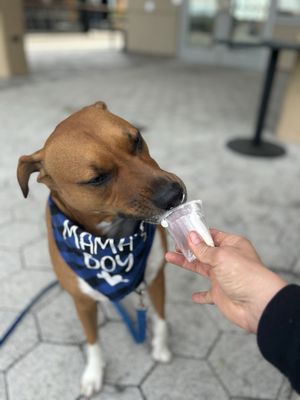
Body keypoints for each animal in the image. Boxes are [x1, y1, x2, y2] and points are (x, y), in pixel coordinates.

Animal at [17, 101, 186, 396]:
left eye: (136, 140)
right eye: (96, 179)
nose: (174, 194)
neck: (113, 241)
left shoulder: (156, 277)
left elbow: (161, 317)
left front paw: (161, 347)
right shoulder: (83, 302)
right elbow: (93, 340)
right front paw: (94, 373)